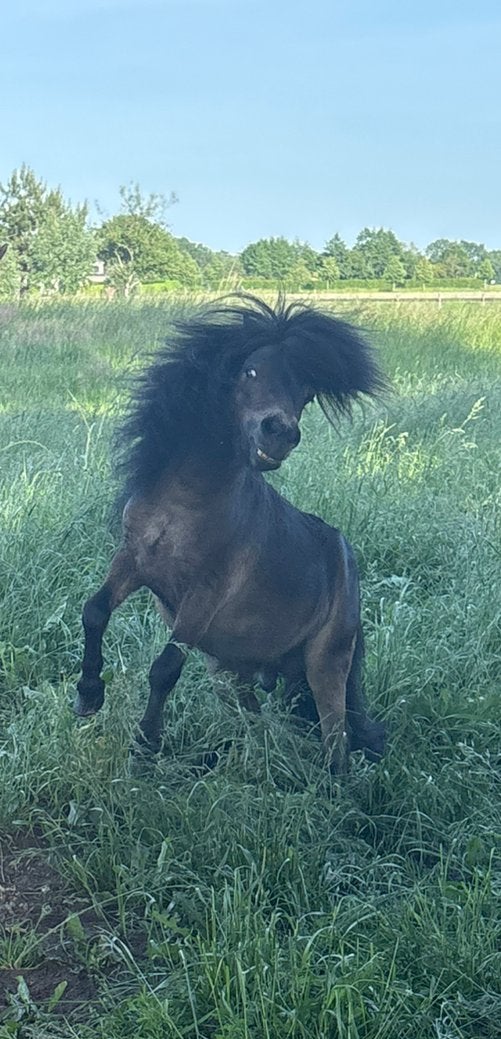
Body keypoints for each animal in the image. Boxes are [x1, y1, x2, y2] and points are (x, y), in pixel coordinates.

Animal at [76, 295, 386, 772]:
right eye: (250, 371)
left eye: (306, 392)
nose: (279, 433)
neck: (185, 504)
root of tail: (344, 560)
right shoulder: (133, 561)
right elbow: (94, 611)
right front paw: (88, 696)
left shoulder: (205, 593)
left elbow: (165, 667)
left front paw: (145, 746)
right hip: (233, 670)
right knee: (257, 722)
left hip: (326, 665)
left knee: (337, 741)